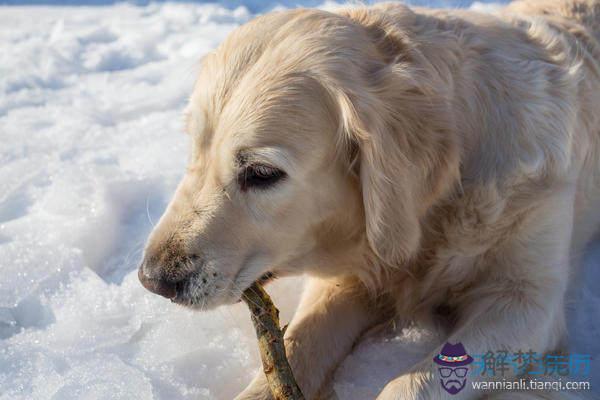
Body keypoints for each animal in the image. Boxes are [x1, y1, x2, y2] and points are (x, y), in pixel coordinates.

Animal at [138, 1, 600, 398]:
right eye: (193, 148)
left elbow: (414, 381)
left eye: (262, 174)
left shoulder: (525, 301)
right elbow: (301, 341)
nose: (152, 280)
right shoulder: (349, 278)